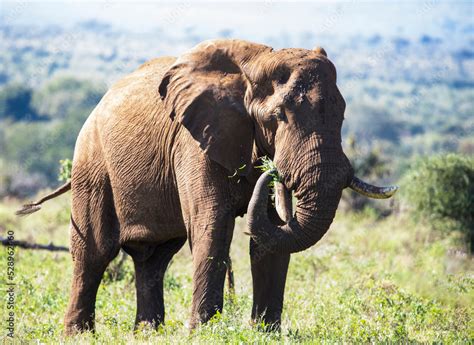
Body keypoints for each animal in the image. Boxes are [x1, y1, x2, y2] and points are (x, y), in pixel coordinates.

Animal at [16, 39, 396, 334]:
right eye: (278, 117)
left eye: (342, 115)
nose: (271, 172)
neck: (255, 65)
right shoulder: (194, 142)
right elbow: (212, 225)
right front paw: (204, 333)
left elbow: (270, 236)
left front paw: (265, 334)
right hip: (92, 163)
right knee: (94, 251)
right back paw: (79, 335)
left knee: (154, 258)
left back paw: (148, 334)